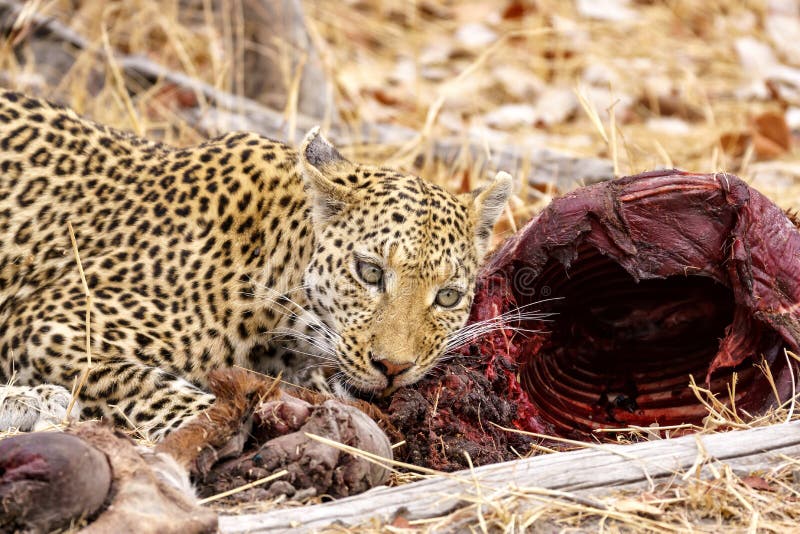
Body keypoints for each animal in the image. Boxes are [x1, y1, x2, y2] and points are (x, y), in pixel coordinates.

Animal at [0, 91, 512, 440]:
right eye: (369, 272)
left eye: (447, 297)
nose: (393, 368)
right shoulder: (49, 324)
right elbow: (139, 382)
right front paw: (214, 419)